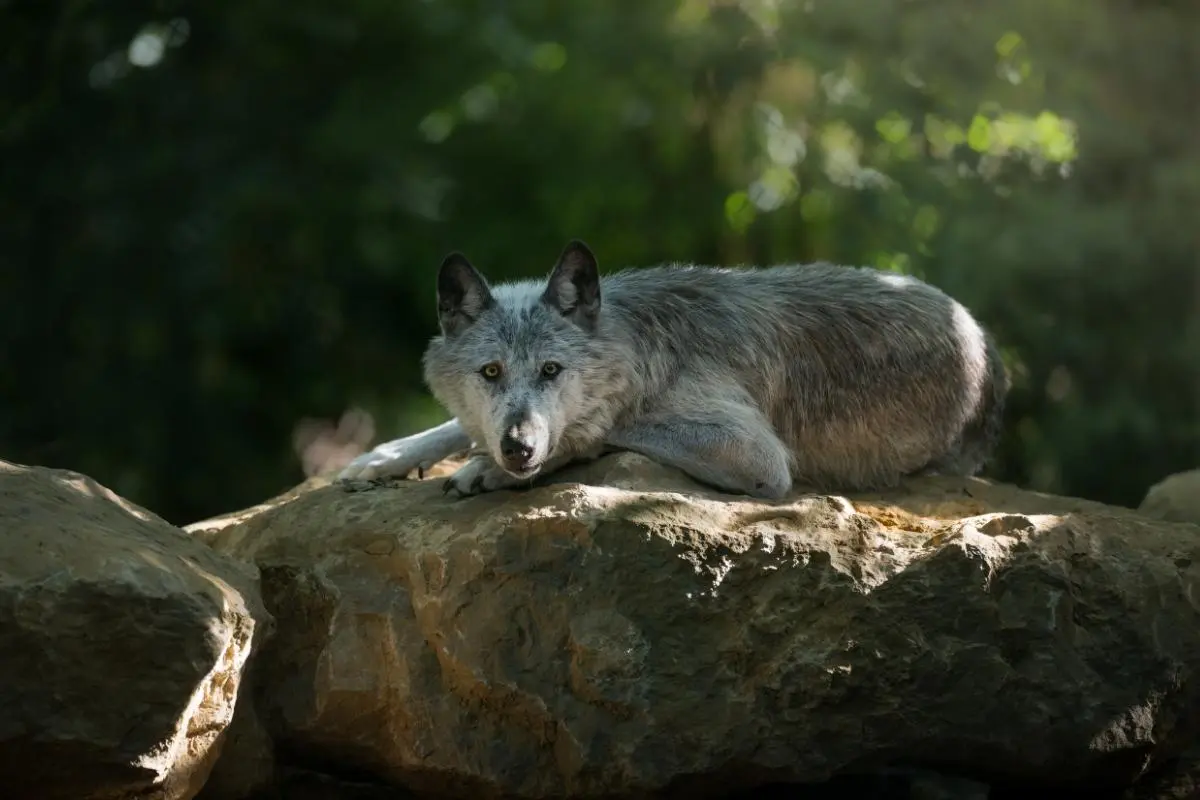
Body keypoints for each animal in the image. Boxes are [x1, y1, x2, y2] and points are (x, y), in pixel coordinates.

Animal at [338, 240, 1008, 500]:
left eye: (552, 370)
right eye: (491, 373)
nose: (519, 449)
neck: (641, 349)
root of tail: (983, 335)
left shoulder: (760, 457)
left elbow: (597, 432)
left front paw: (490, 471)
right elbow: (453, 425)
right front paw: (383, 456)